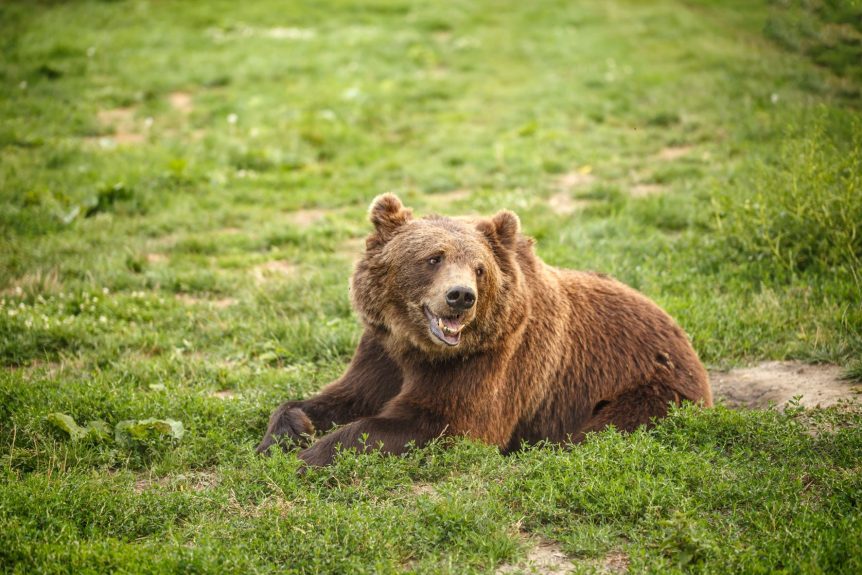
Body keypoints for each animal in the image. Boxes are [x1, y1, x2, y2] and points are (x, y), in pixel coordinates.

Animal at [258, 196, 716, 466]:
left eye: (479, 268)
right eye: (433, 258)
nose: (461, 296)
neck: (418, 346)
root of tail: (680, 332)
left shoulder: (491, 361)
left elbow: (442, 422)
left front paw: (310, 456)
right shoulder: (381, 350)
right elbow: (341, 396)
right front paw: (287, 433)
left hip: (649, 390)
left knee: (604, 430)